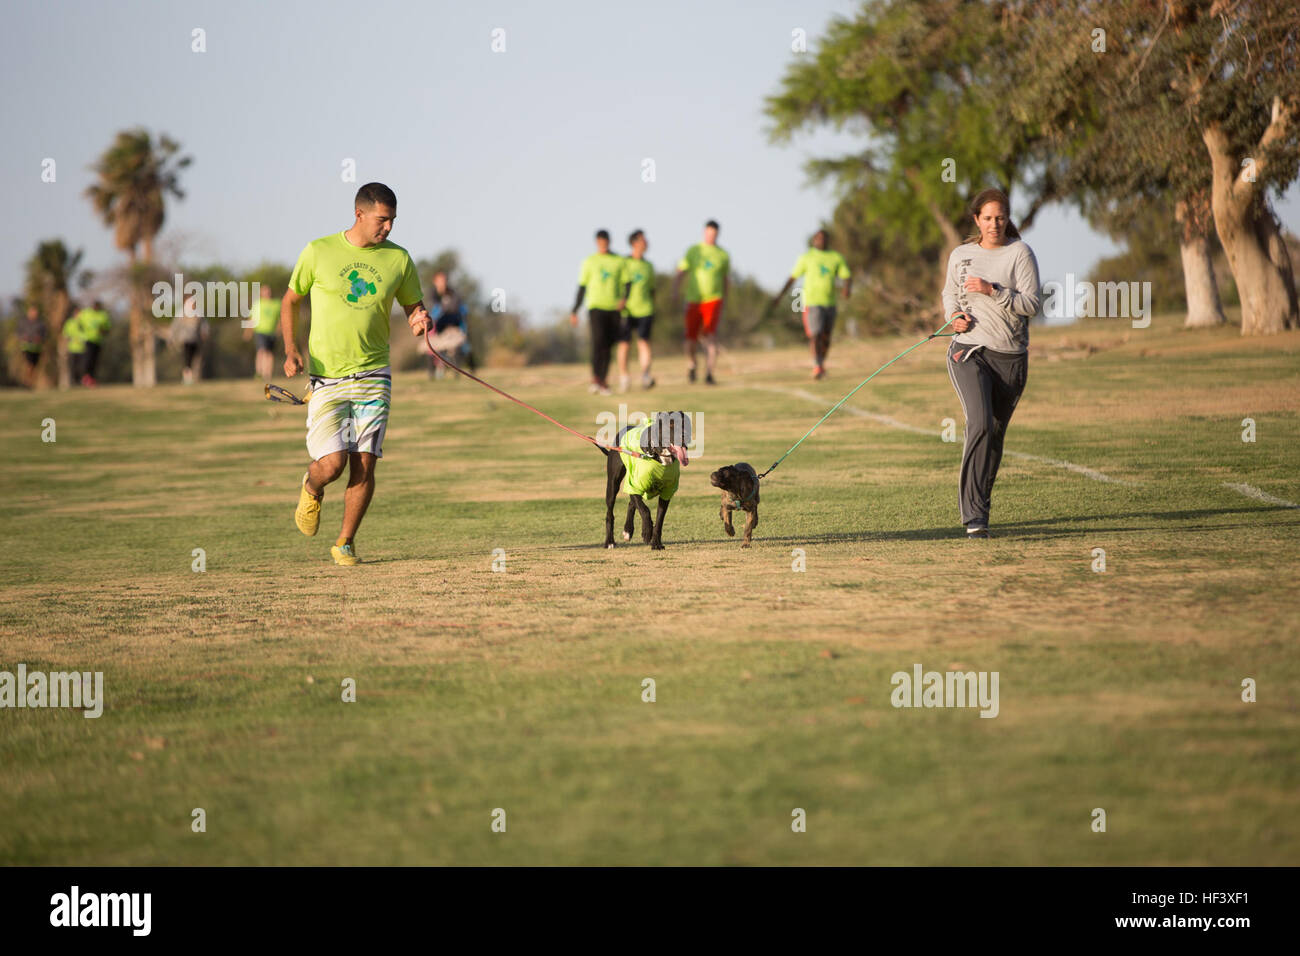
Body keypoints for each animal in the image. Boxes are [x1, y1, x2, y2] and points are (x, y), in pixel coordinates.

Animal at [598, 408, 691, 548]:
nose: (685, 435)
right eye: (671, 425)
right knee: (610, 513)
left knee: (631, 503)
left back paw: (628, 530)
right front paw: (647, 532)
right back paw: (610, 541)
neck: (657, 453)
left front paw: (656, 543)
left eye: (686, 423)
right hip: (613, 484)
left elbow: (659, 520)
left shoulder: (667, 493)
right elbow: (645, 510)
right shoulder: (633, 486)